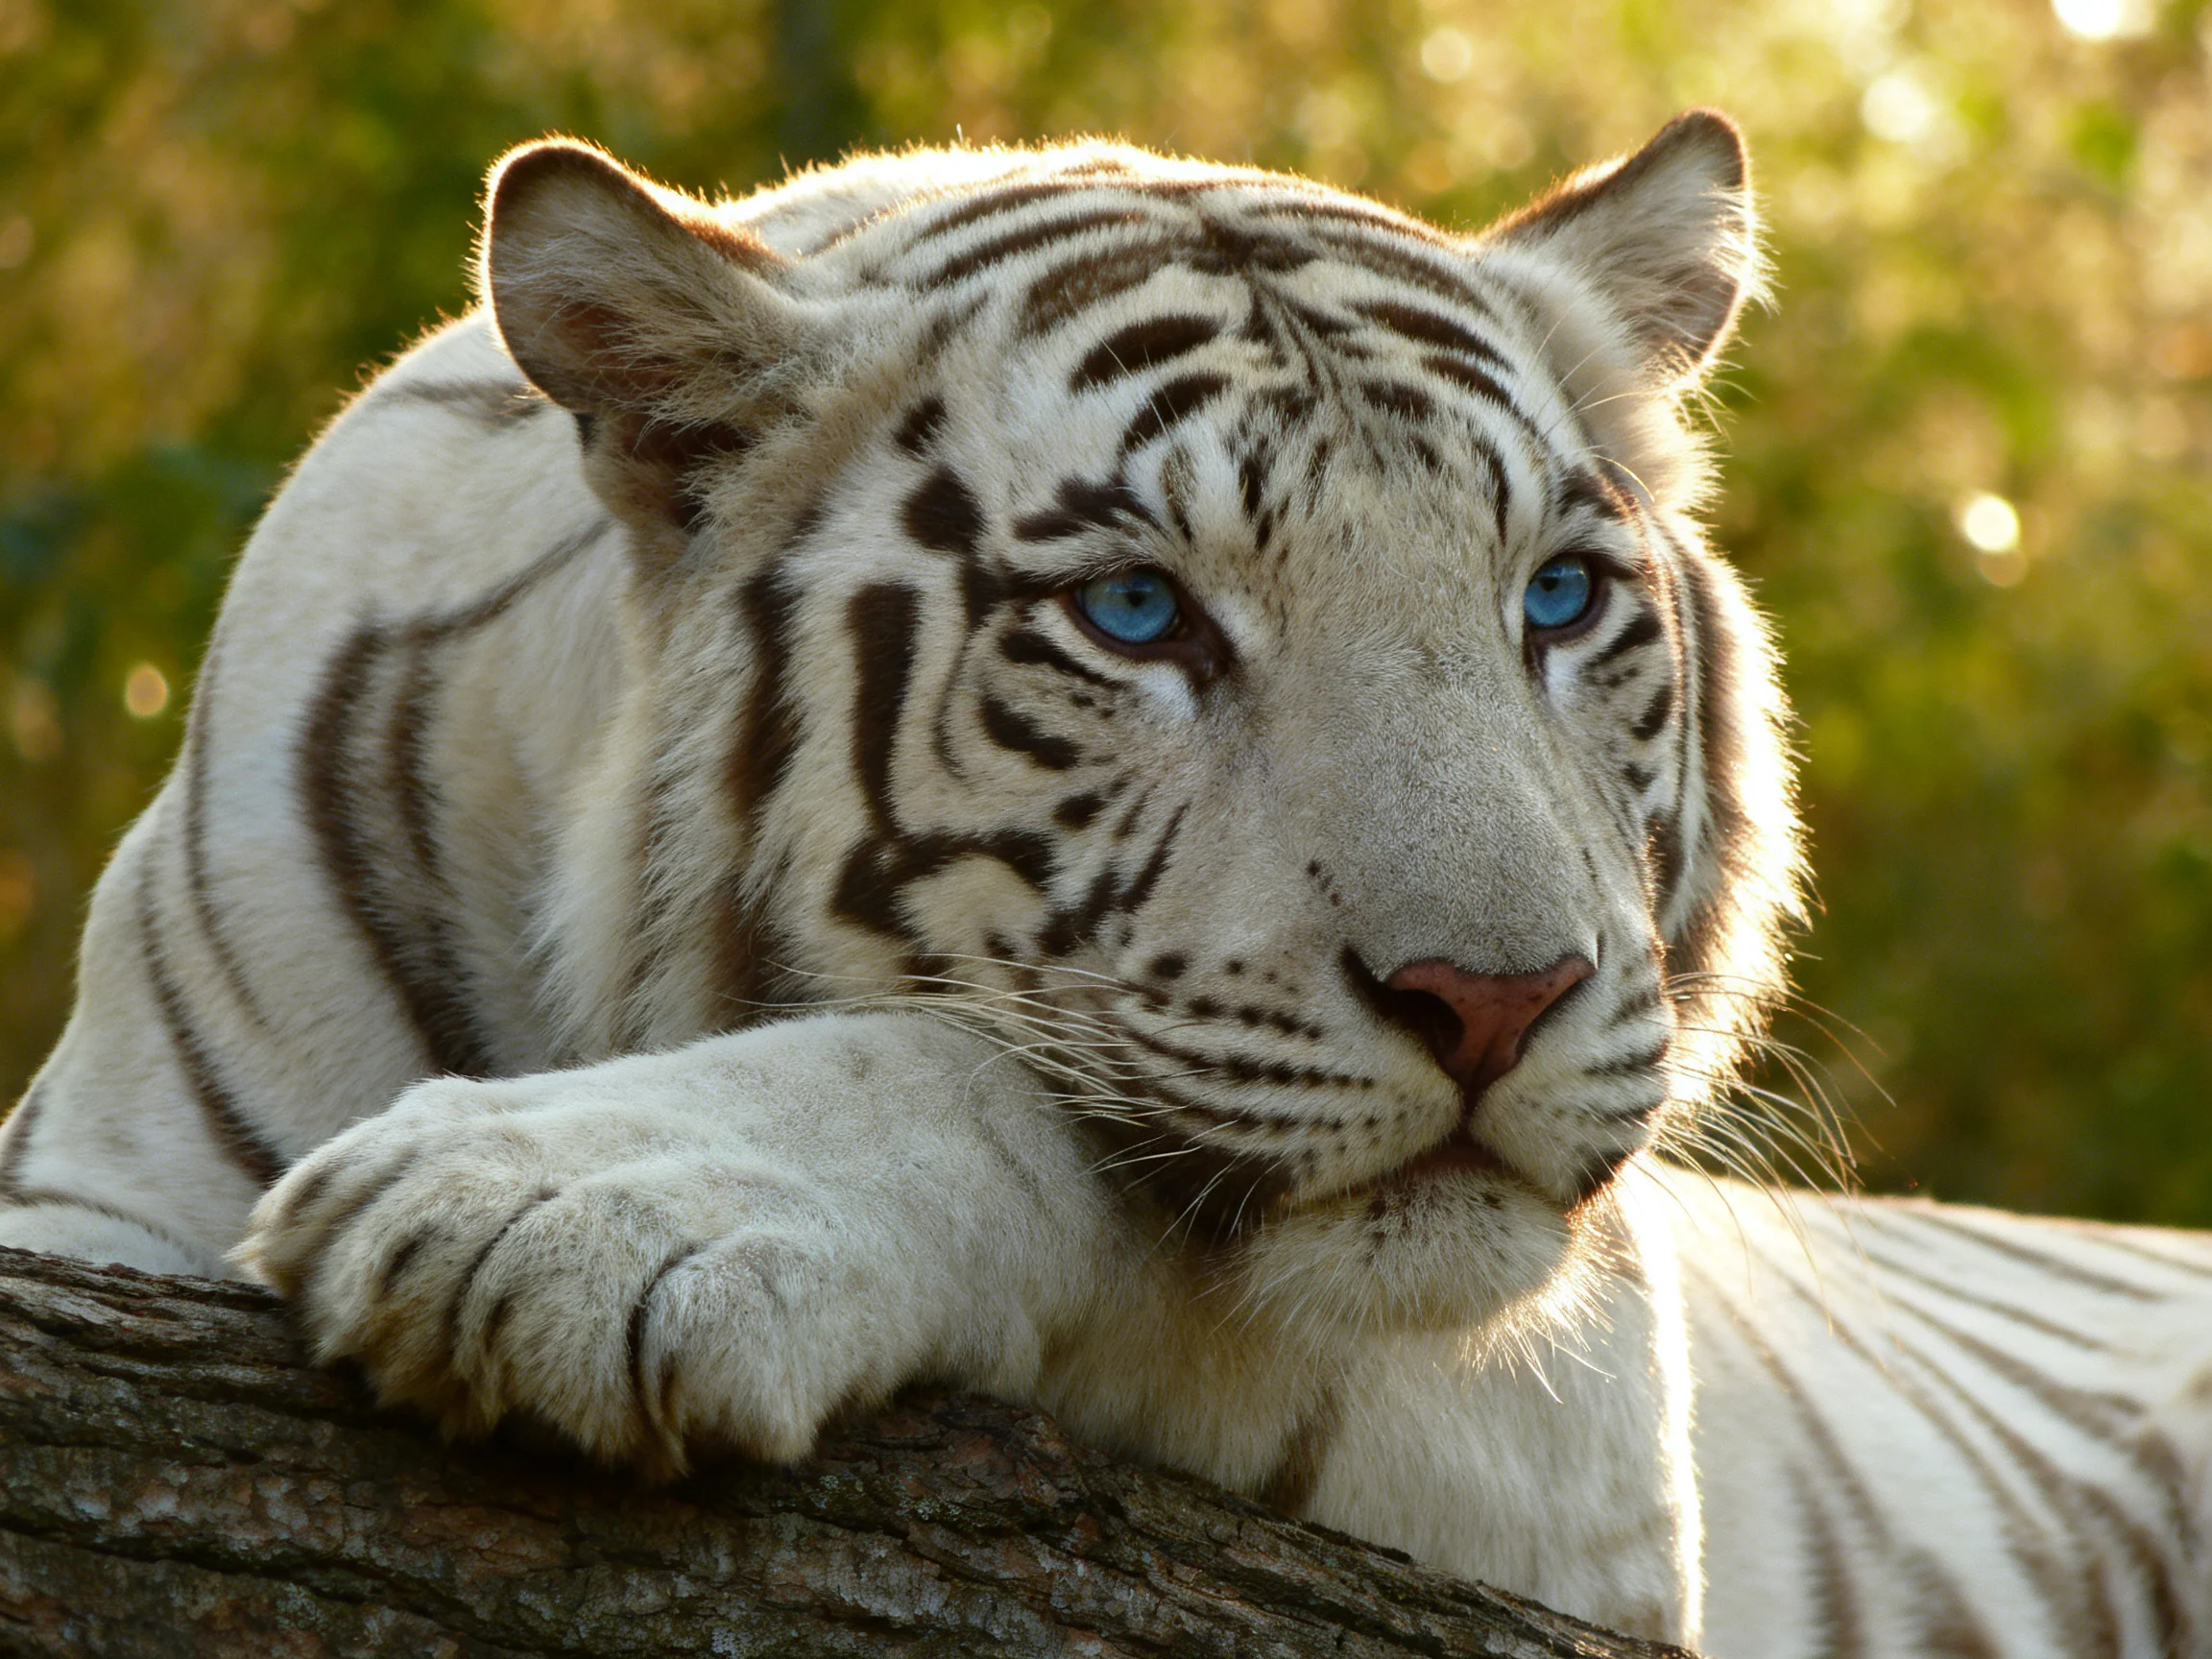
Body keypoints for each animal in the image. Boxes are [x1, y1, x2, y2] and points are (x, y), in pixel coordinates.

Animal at [3, 110, 2210, 1656]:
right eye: (1137, 615)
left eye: (1557, 598)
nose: (1498, 1000)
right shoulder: (93, 1209)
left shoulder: (1560, 1419)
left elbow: (1017, 1108)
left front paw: (557, 1212)